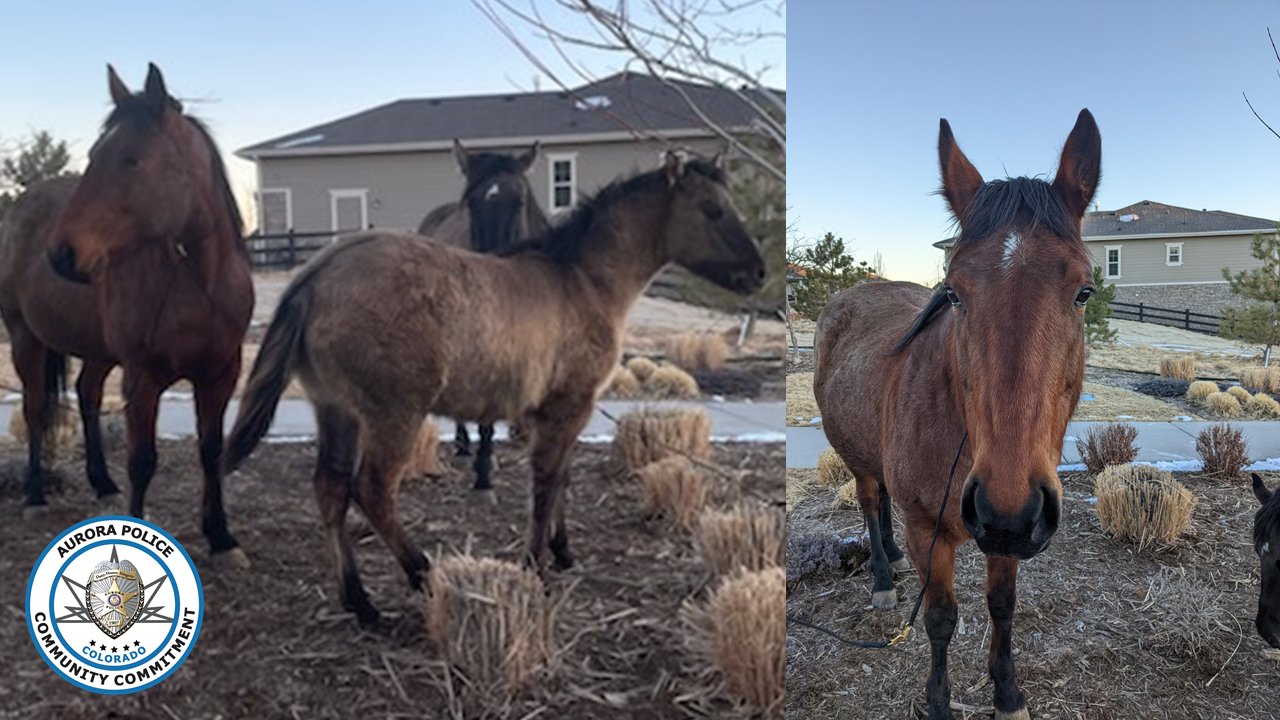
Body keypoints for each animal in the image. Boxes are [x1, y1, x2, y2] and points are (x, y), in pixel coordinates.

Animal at [28, 64, 252, 563]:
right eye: (94, 155)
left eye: (131, 160)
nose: (59, 254)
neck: (199, 286)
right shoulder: (142, 377)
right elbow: (142, 460)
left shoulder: (220, 373)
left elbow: (211, 450)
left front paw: (221, 536)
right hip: (24, 338)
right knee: (35, 409)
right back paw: (34, 494)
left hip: (97, 351)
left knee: (87, 392)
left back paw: (102, 483)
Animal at [819, 109, 1100, 712]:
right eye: (952, 292)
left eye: (1084, 291)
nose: (1008, 508)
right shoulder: (931, 531)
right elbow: (941, 620)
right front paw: (939, 702)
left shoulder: (1010, 531)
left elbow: (1002, 606)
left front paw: (1008, 693)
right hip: (858, 460)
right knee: (869, 499)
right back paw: (883, 577)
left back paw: (892, 557)